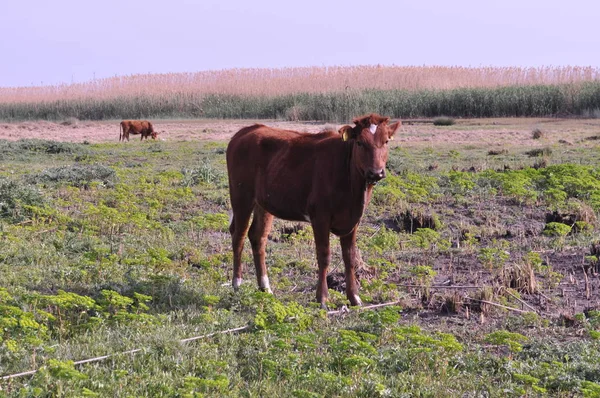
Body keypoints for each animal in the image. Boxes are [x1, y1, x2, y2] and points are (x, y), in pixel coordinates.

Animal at [224, 113, 398, 306]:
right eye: (360, 142)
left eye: (386, 141)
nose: (376, 172)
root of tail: (247, 130)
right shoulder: (320, 216)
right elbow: (324, 255)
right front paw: (322, 297)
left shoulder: (353, 220)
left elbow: (350, 257)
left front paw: (354, 297)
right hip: (241, 196)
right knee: (238, 235)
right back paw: (237, 283)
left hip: (263, 203)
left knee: (258, 237)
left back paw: (265, 287)